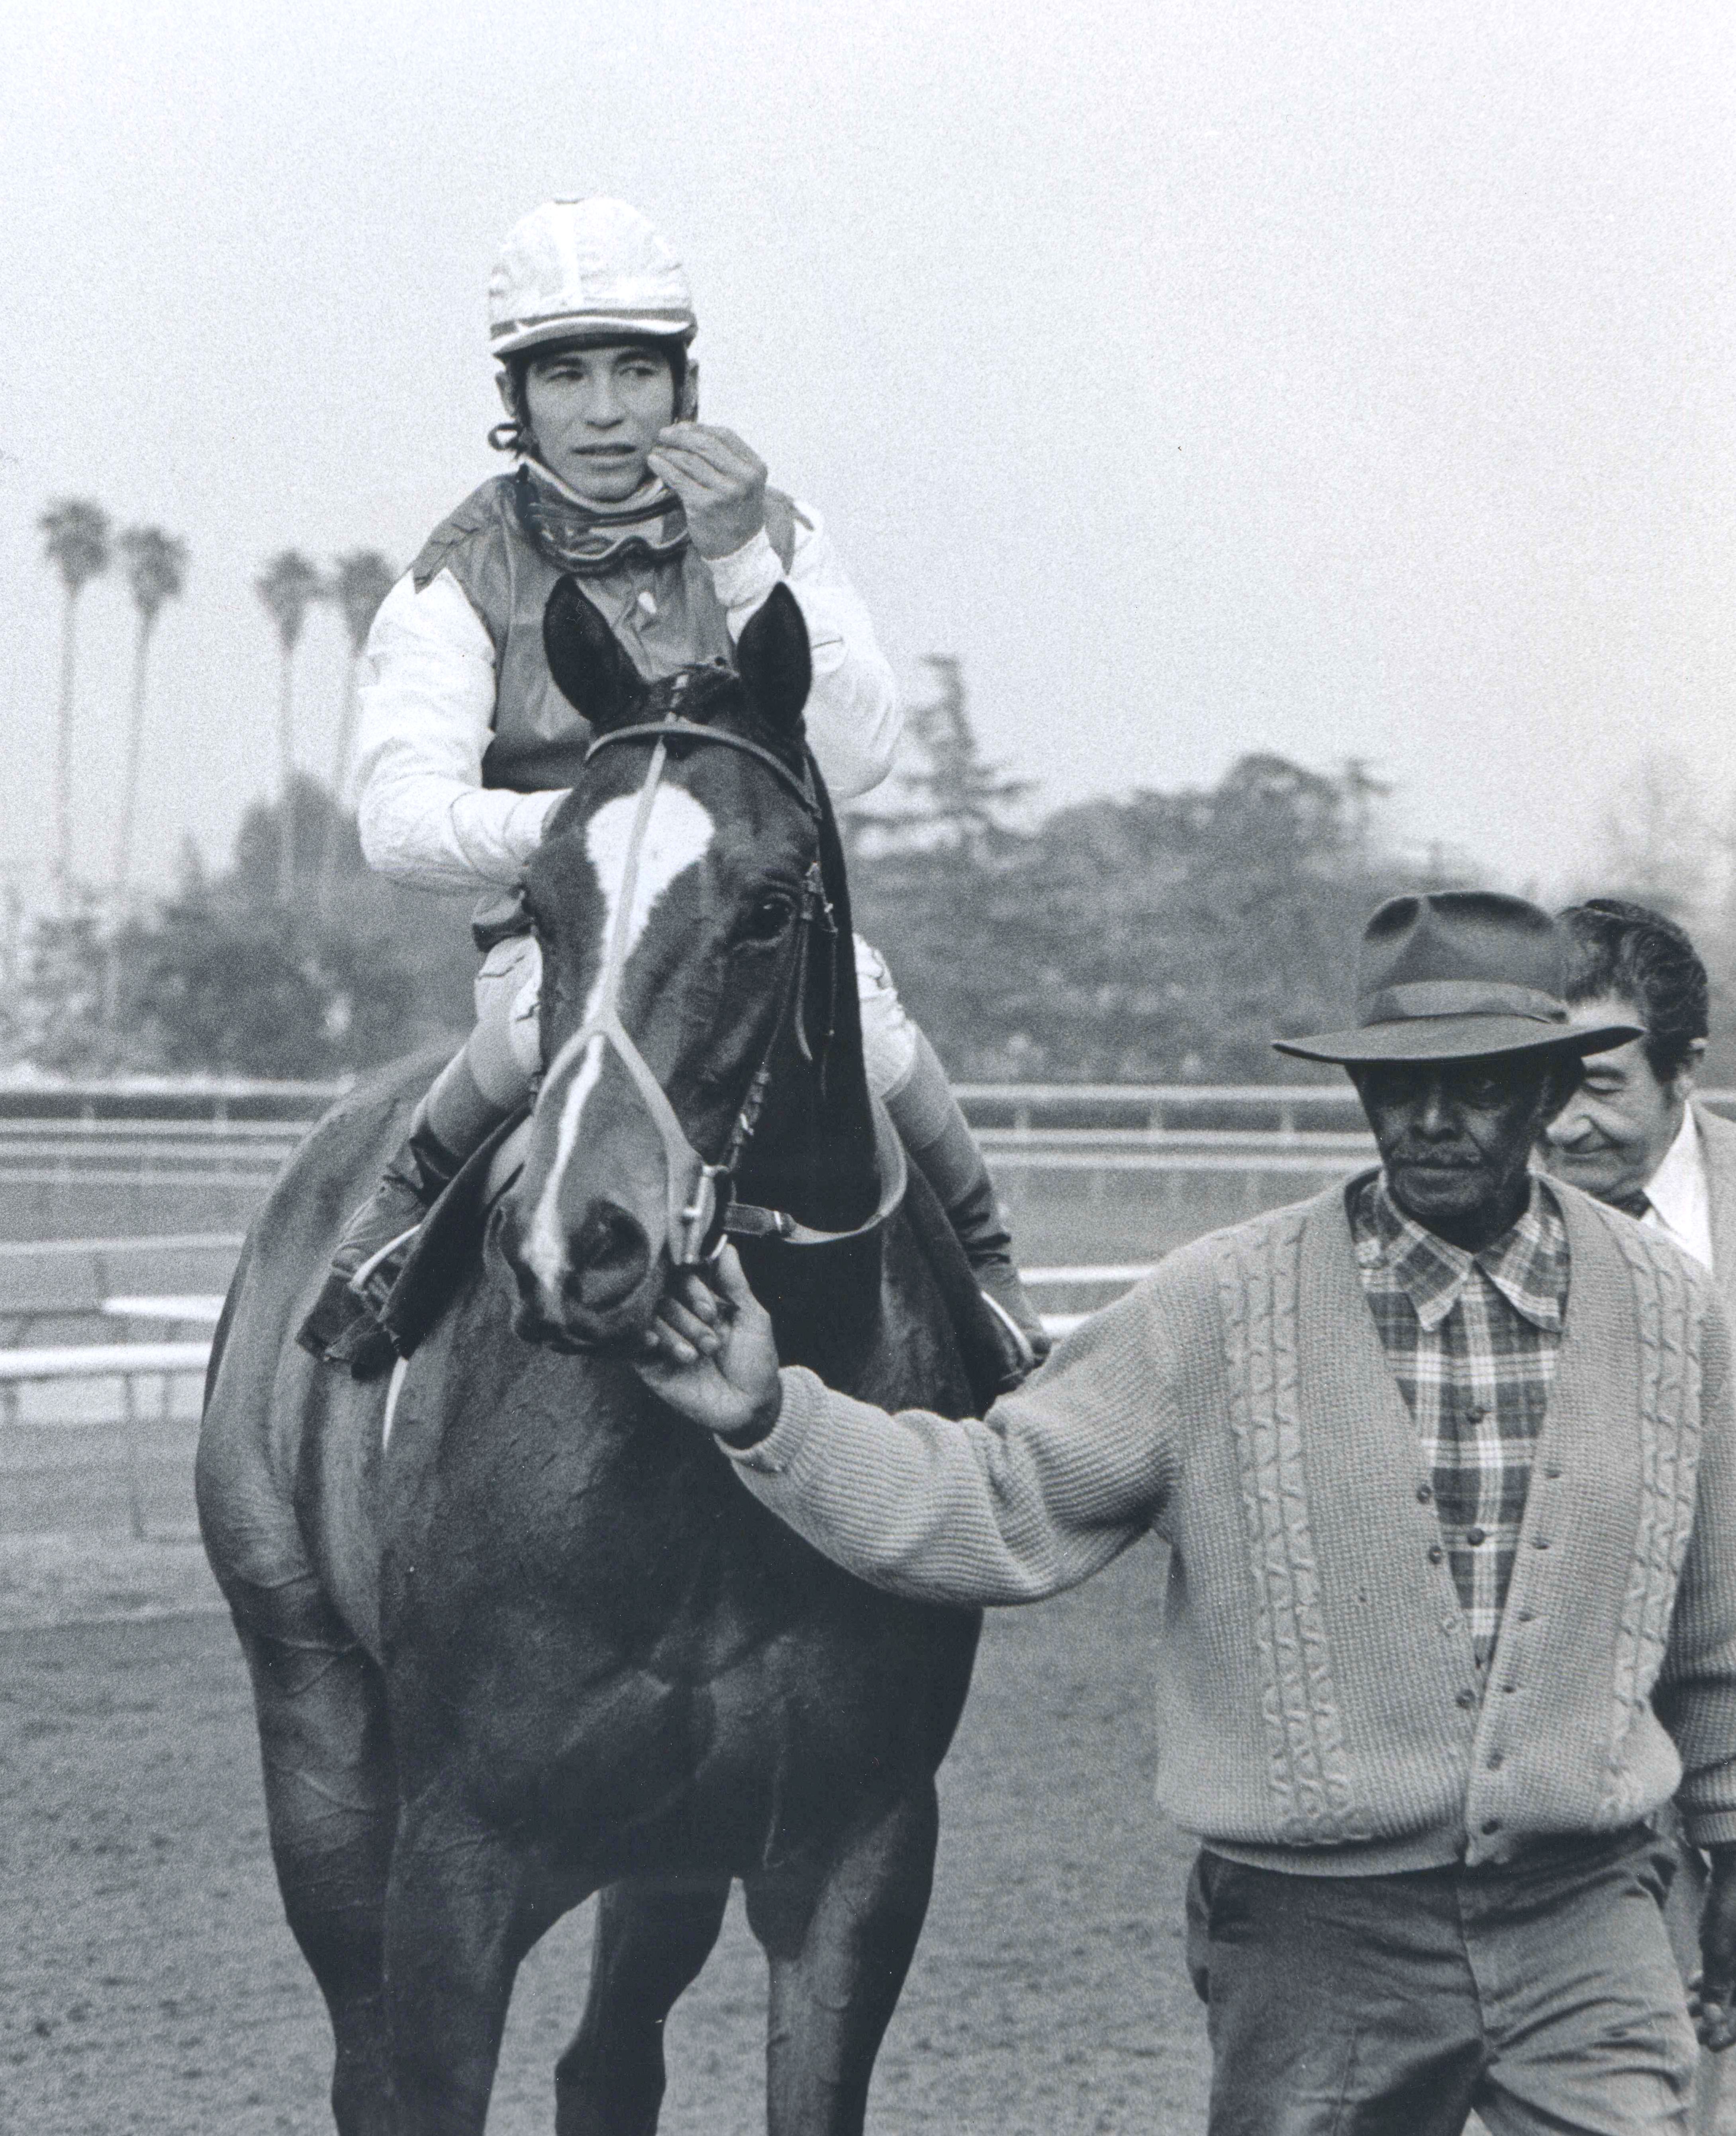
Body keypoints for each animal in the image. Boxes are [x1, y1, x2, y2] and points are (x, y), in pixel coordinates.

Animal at [198, 585, 982, 2136]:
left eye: (765, 908)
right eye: (543, 904)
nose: (582, 1239)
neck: (693, 1507)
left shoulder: (856, 1846)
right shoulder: (456, 1863)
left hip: (667, 1850)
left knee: (607, 2060)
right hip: (311, 1717)